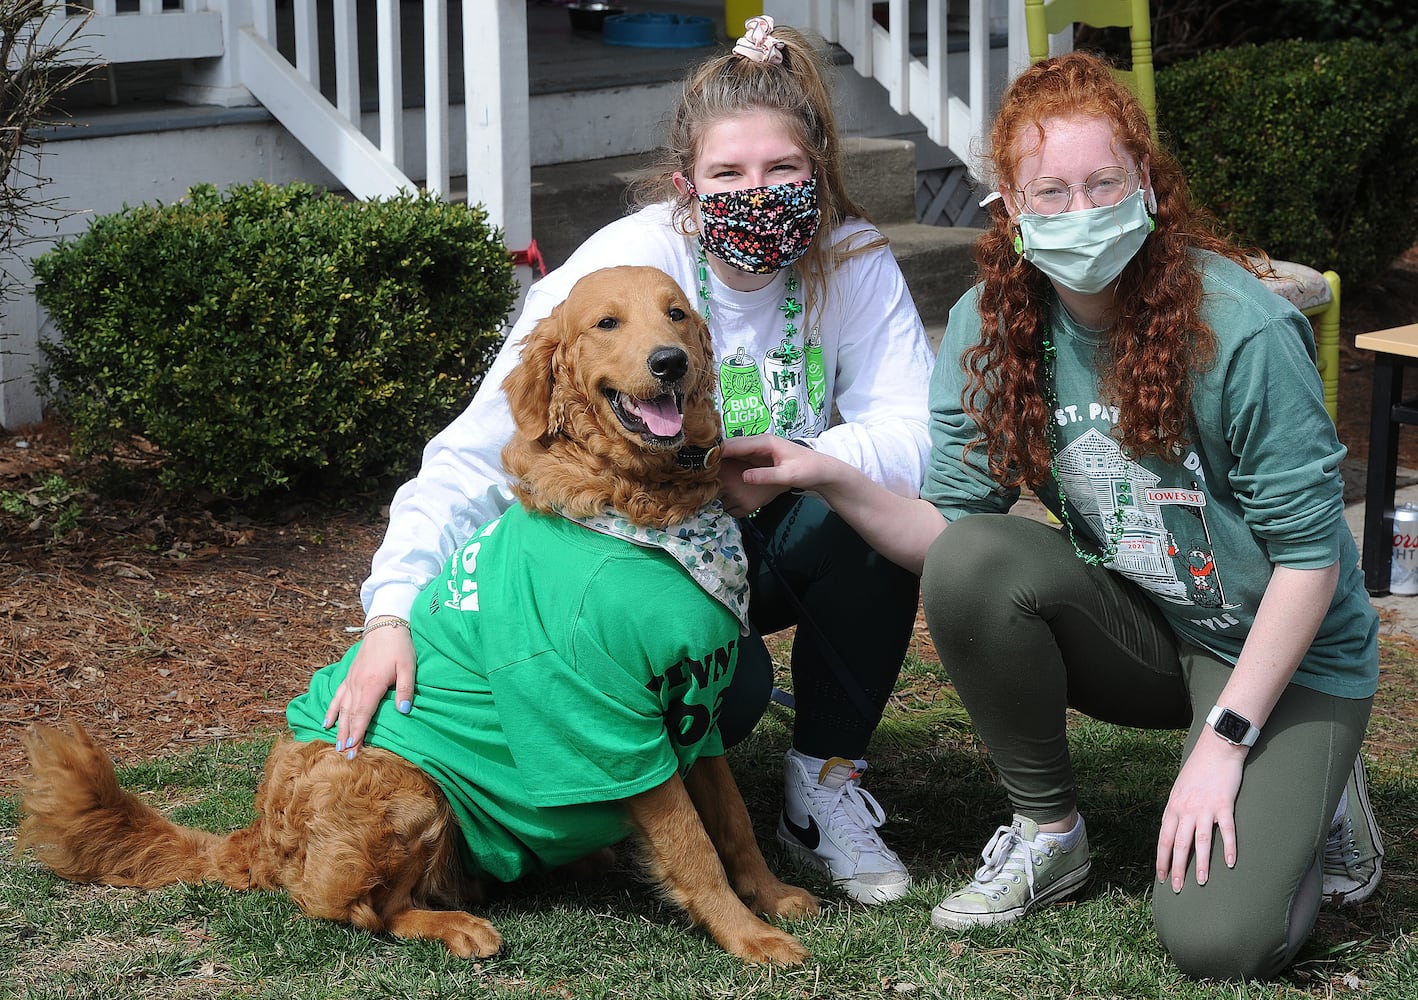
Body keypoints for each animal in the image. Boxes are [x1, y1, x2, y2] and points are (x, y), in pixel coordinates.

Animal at [16, 263, 822, 958]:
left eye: (677, 314)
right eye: (606, 323)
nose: (669, 363)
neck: (641, 509)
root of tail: (259, 837)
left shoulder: (694, 704)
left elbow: (731, 822)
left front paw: (771, 896)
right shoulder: (604, 726)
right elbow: (693, 845)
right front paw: (748, 936)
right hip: (404, 784)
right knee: (353, 908)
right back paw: (453, 925)